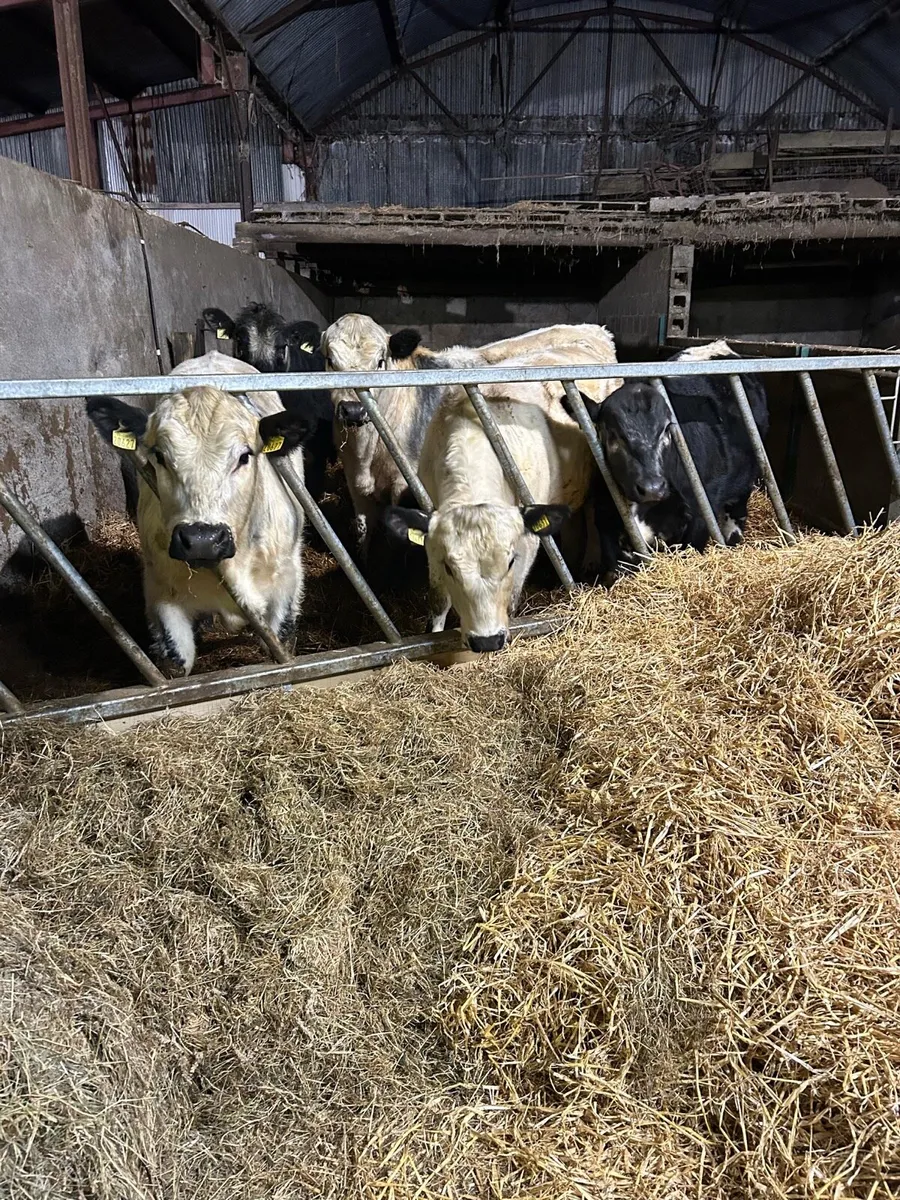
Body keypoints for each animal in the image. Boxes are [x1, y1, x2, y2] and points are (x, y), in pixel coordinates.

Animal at [85, 351, 307, 677]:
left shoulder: (286, 583)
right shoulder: (161, 592)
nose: (202, 539)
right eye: (159, 456)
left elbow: (280, 650)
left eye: (244, 456)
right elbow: (175, 665)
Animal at [320, 314, 621, 557]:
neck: (366, 454)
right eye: (330, 360)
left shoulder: (405, 485)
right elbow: (363, 535)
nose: (353, 410)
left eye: (380, 361)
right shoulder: (356, 486)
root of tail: (594, 329)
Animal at [379, 338, 623, 652]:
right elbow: (439, 600)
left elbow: (514, 595)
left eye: (509, 563)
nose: (487, 641)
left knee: (592, 513)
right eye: (450, 567)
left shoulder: (528, 543)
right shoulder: (432, 543)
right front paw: (434, 633)